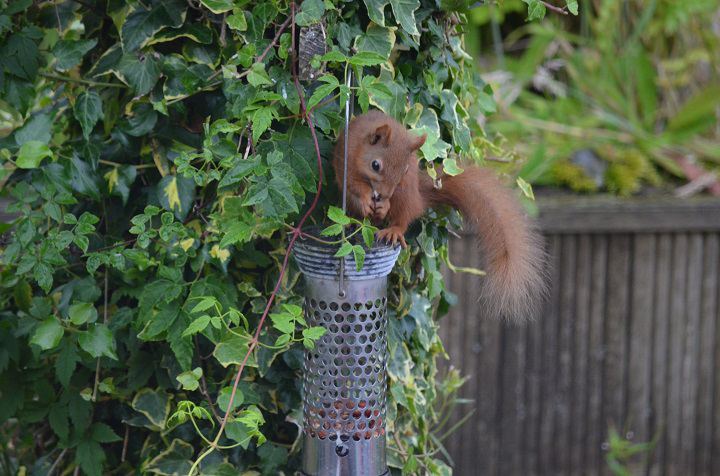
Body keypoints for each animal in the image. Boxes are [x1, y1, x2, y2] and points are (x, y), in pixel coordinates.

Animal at [333, 109, 547, 321]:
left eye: (405, 169)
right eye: (375, 165)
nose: (383, 195)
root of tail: (419, 198)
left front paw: (384, 205)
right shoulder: (346, 159)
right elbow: (353, 184)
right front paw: (365, 199)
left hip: (406, 194)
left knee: (404, 216)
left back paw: (393, 229)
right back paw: (355, 222)